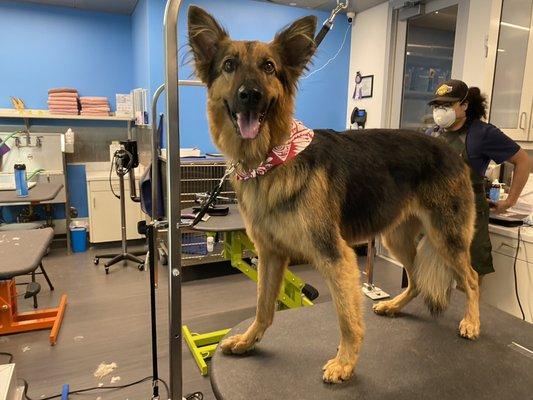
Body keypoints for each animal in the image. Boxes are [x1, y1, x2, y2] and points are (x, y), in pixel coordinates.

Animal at [187, 5, 478, 382]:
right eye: (228, 65)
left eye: (269, 67)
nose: (250, 94)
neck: (272, 158)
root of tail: (449, 150)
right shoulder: (270, 254)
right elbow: (264, 307)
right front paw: (249, 340)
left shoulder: (336, 257)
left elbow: (347, 318)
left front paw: (345, 363)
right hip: (398, 238)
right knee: (415, 280)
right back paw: (394, 305)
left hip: (446, 237)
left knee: (471, 279)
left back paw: (471, 321)